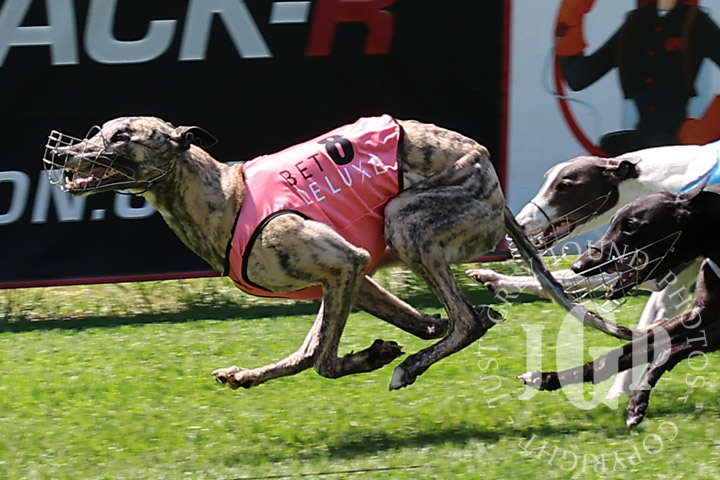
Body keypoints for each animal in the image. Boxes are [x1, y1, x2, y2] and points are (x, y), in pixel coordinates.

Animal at [43, 115, 508, 390]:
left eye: (121, 136)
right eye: (99, 130)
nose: (61, 154)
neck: (226, 198)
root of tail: (484, 159)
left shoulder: (346, 262)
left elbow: (322, 361)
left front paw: (376, 355)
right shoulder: (353, 276)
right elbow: (324, 348)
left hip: (405, 222)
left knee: (466, 322)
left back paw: (408, 367)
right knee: (463, 319)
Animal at [519, 184, 720, 428]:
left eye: (631, 226)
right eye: (612, 221)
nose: (578, 266)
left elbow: (670, 349)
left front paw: (637, 402)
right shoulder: (700, 312)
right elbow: (626, 352)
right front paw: (547, 378)